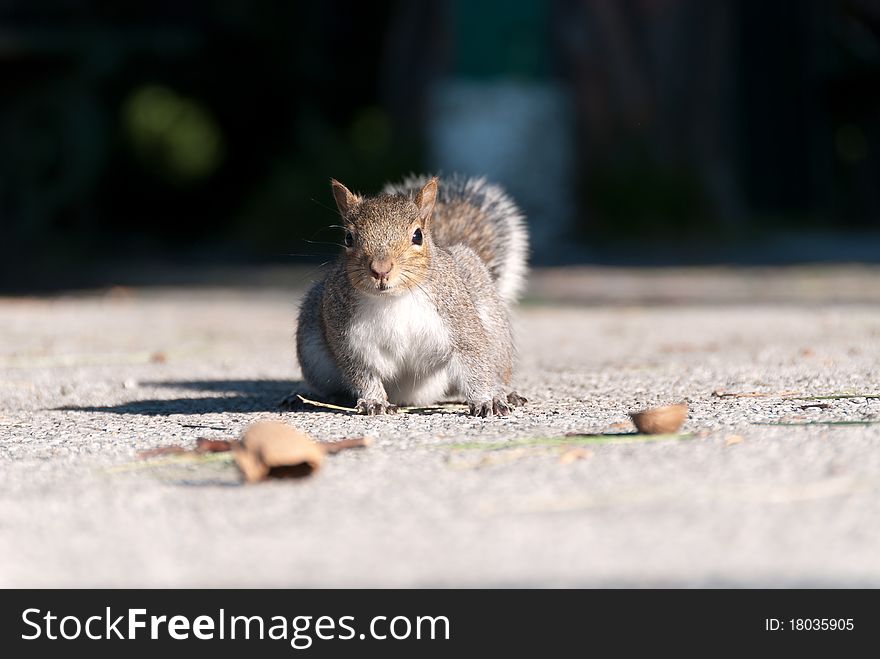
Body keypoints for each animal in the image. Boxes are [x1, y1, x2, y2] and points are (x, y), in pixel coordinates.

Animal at [296, 175, 528, 418]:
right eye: (348, 238)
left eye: (418, 236)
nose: (380, 269)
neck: (393, 298)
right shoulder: (350, 343)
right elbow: (362, 374)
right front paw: (373, 401)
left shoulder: (459, 322)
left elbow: (474, 362)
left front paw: (485, 400)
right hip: (312, 351)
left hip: (494, 330)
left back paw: (504, 393)